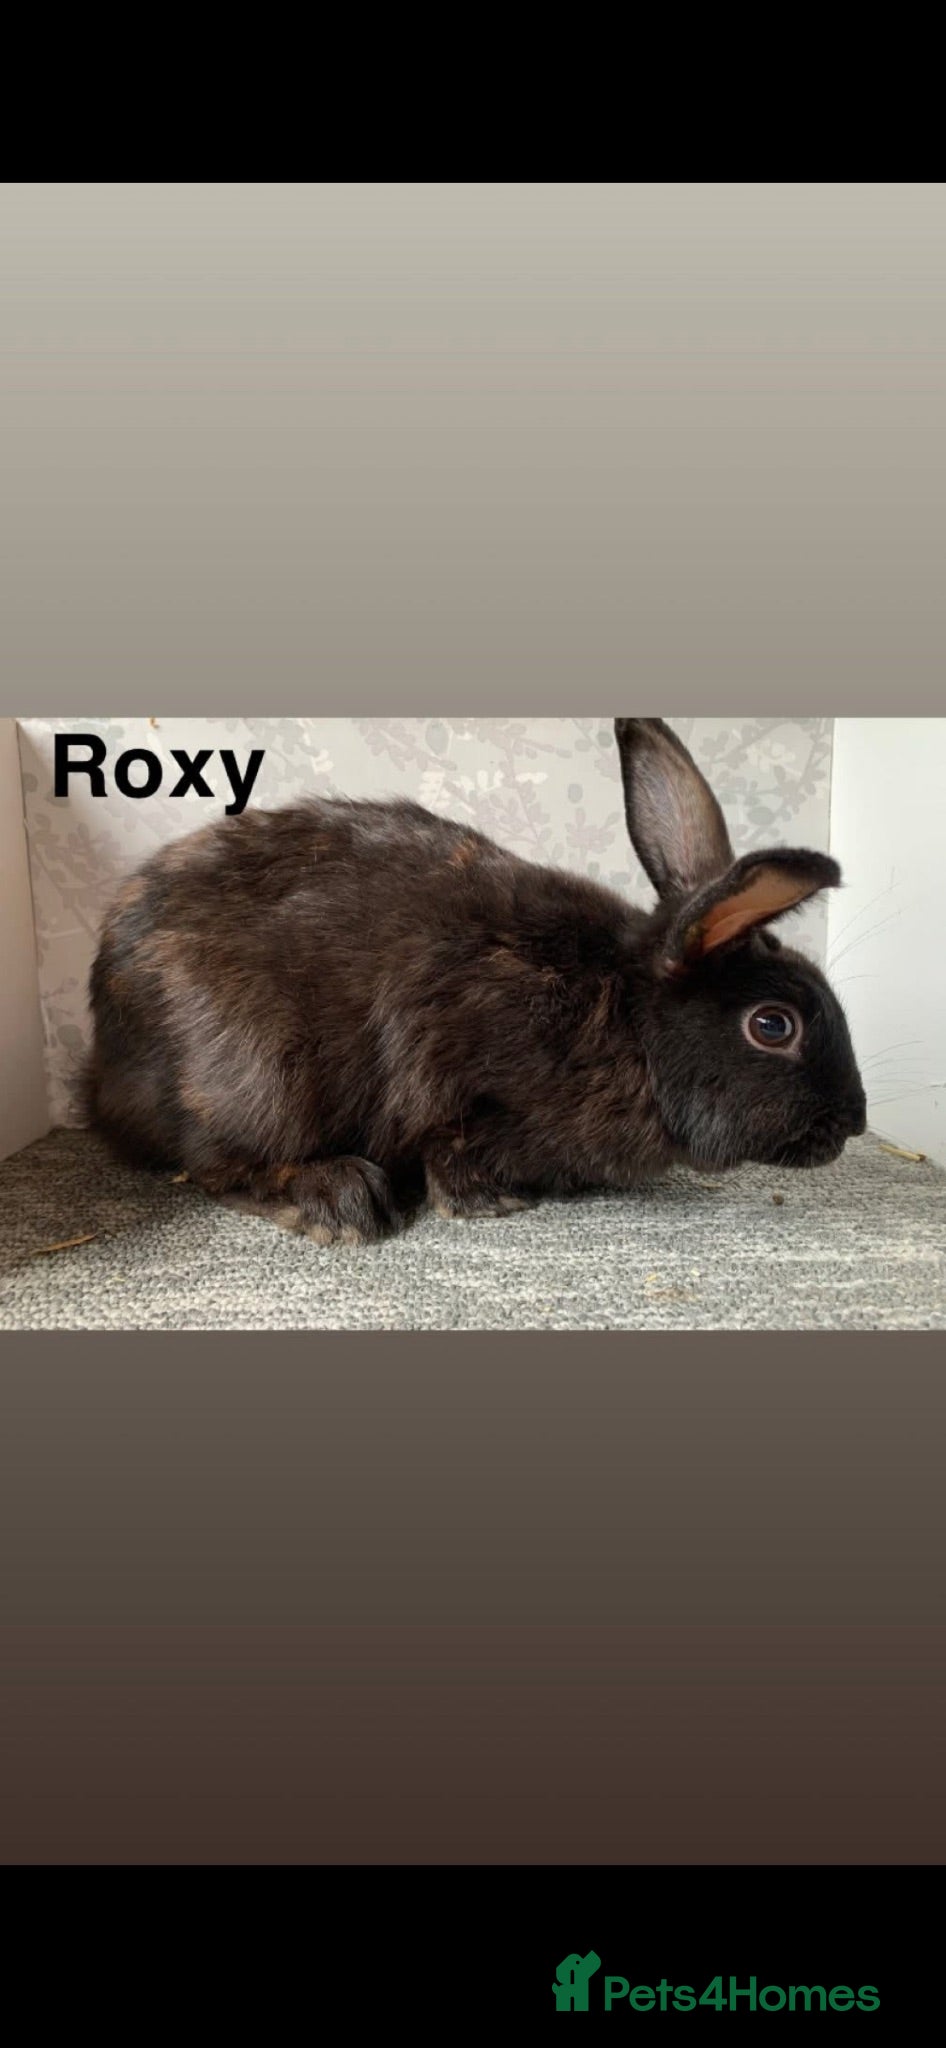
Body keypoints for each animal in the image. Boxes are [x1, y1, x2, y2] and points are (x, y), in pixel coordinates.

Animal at [84, 718, 867, 1245]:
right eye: (773, 1025)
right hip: (261, 1078)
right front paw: (491, 1203)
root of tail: (104, 1069)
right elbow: (452, 1147)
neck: (632, 1020)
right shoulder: (462, 1077)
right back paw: (337, 1199)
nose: (854, 1124)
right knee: (215, 1167)